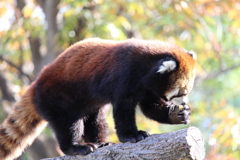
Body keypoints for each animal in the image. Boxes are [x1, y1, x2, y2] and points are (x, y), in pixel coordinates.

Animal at [0, 38, 196, 159]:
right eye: (181, 93)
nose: (184, 103)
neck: (146, 63)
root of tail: (36, 83)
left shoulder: (149, 87)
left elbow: (150, 107)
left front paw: (177, 115)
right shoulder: (125, 74)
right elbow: (123, 109)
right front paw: (132, 135)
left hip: (89, 104)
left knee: (96, 120)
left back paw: (101, 142)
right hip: (57, 97)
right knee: (68, 123)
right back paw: (76, 147)